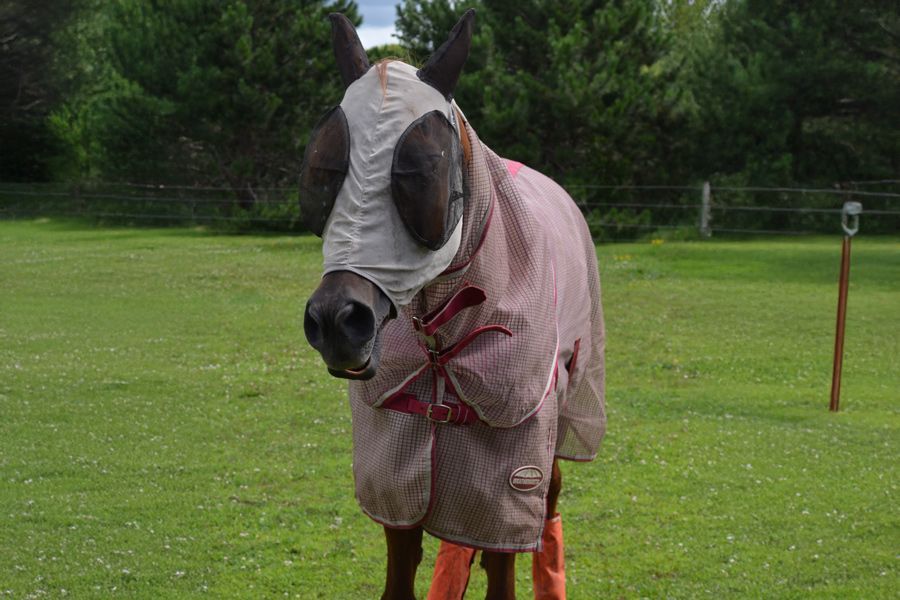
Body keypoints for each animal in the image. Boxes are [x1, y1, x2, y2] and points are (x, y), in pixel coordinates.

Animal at [302, 10, 605, 599]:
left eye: (422, 169)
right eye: (322, 168)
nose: (336, 321)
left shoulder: (511, 479)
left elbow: (504, 562)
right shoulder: (398, 476)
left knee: (550, 506)